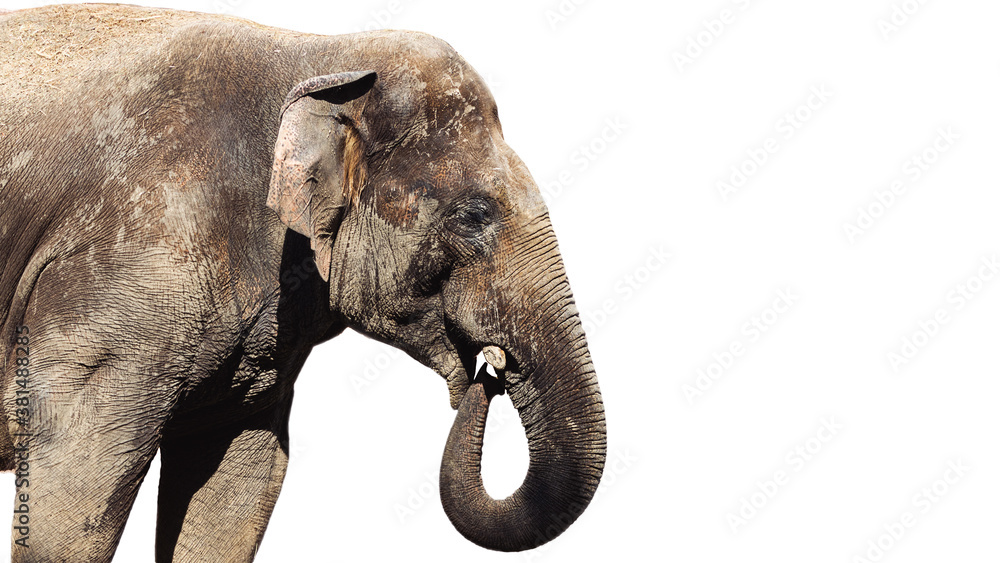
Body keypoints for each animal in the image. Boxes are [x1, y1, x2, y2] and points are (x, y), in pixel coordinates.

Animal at [0, 4, 606, 561]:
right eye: (475, 216)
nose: (492, 369)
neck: (323, 55)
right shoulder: (128, 276)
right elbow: (77, 483)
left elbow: (238, 481)